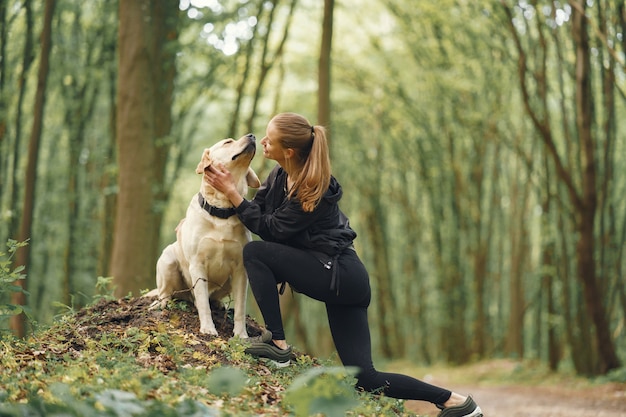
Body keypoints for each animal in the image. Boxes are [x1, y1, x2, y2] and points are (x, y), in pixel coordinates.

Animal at [152, 134, 260, 338]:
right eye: (228, 142)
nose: (252, 135)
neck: (222, 210)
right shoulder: (197, 263)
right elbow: (202, 302)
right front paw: (208, 328)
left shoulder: (240, 269)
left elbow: (240, 307)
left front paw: (241, 334)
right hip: (168, 259)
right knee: (168, 292)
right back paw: (163, 302)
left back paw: (217, 303)